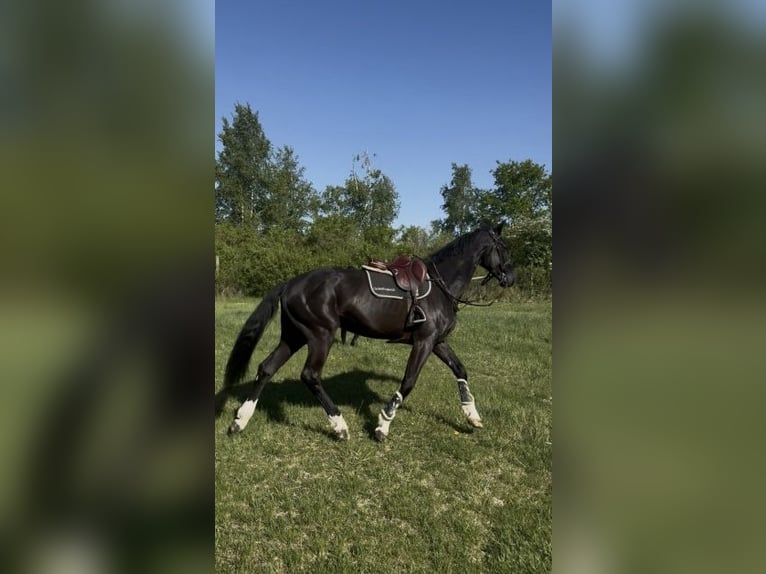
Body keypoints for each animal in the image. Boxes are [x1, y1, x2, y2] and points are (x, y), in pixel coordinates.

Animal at [221, 223, 514, 441]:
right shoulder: (424, 342)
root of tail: (291, 282)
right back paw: (339, 426)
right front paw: (383, 424)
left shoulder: (437, 341)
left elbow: (460, 370)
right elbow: (408, 382)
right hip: (320, 335)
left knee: (266, 368)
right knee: (310, 375)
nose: (511, 278)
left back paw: (240, 420)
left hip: (294, 336)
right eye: (503, 248)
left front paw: (471, 415)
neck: (440, 287)